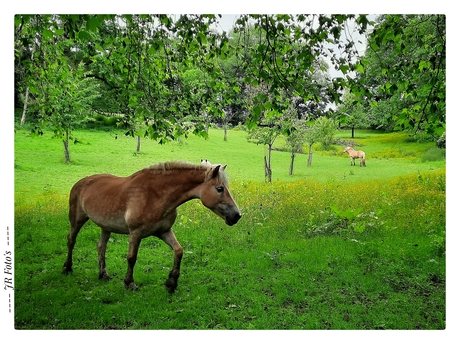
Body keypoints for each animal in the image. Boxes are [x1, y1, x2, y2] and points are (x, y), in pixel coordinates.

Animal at [63, 161, 243, 292]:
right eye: (219, 188)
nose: (236, 215)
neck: (156, 195)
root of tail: (80, 182)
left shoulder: (164, 231)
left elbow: (179, 251)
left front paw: (171, 282)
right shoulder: (135, 233)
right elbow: (131, 258)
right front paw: (129, 283)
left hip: (106, 227)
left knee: (101, 247)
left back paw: (103, 274)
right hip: (77, 220)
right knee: (71, 240)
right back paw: (67, 268)